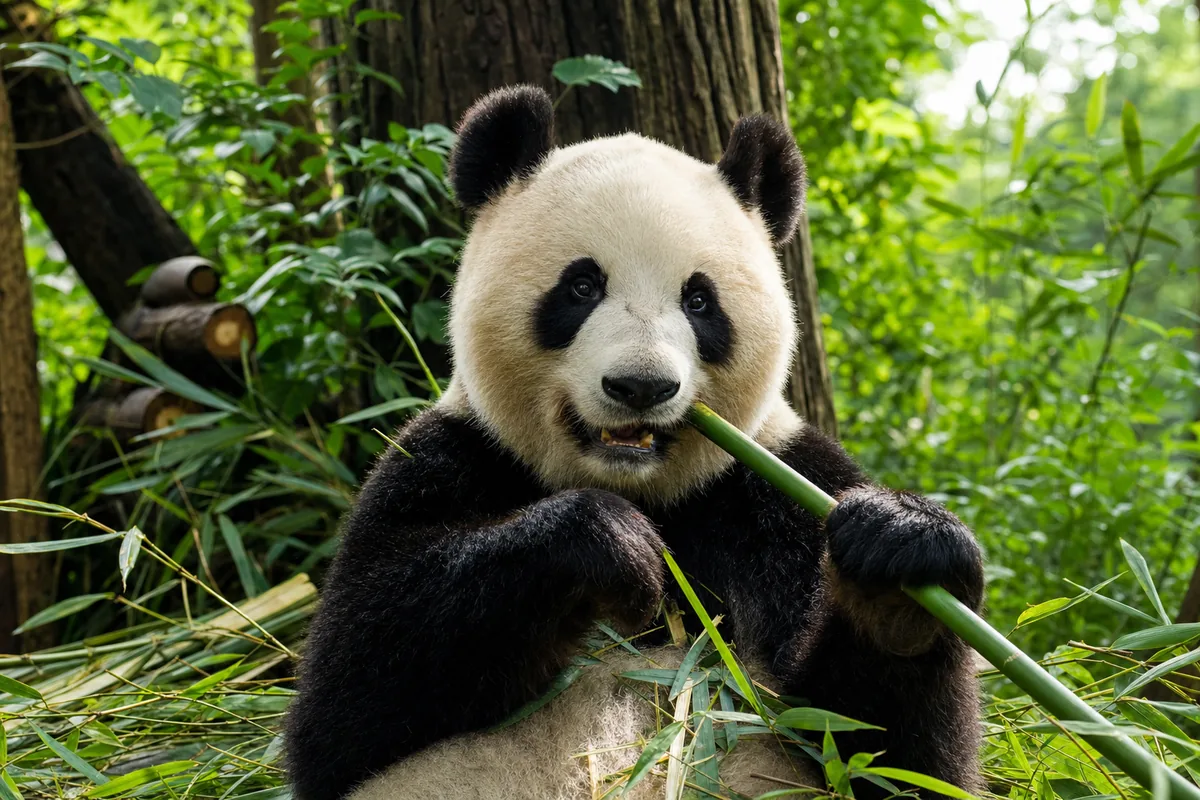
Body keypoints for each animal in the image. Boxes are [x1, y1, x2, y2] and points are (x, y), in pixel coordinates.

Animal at [284, 85, 985, 800]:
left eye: (699, 301)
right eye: (581, 285)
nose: (641, 385)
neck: (642, 487)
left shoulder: (776, 488)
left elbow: (885, 752)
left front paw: (900, 564)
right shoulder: (451, 457)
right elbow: (349, 696)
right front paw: (608, 543)